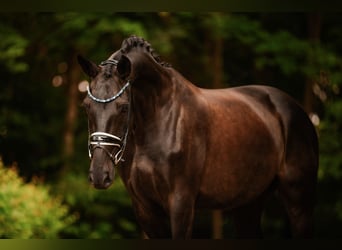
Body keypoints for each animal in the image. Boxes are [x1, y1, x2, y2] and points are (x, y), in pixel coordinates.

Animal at [77, 35, 318, 238]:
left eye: (124, 107)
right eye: (86, 106)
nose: (99, 174)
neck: (158, 119)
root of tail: (297, 110)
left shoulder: (181, 203)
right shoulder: (145, 208)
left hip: (299, 202)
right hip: (248, 204)